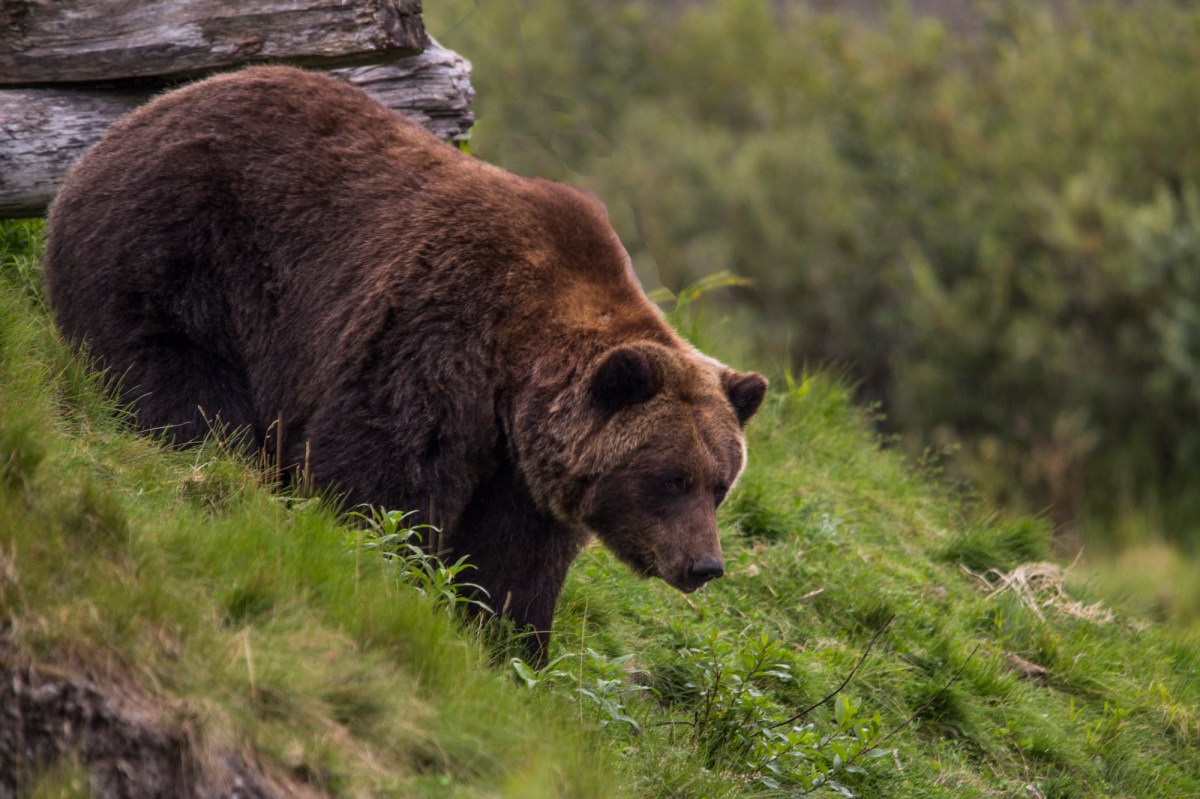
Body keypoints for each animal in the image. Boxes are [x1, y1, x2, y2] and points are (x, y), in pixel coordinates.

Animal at [43, 66, 768, 661]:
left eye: (720, 483)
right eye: (670, 477)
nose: (704, 565)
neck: (515, 372)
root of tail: (131, 121)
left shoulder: (523, 467)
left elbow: (514, 560)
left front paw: (507, 641)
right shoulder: (435, 334)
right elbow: (381, 475)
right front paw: (384, 568)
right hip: (183, 254)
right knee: (179, 385)